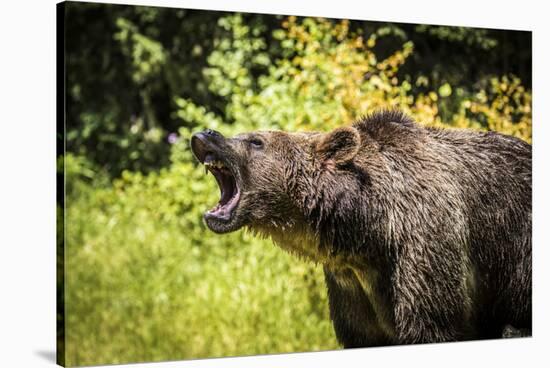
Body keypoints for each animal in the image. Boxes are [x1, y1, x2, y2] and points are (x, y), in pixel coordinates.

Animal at [192, 110, 532, 346]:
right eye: (244, 134)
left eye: (256, 141)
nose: (206, 133)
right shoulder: (349, 287)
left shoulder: (425, 248)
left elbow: (433, 322)